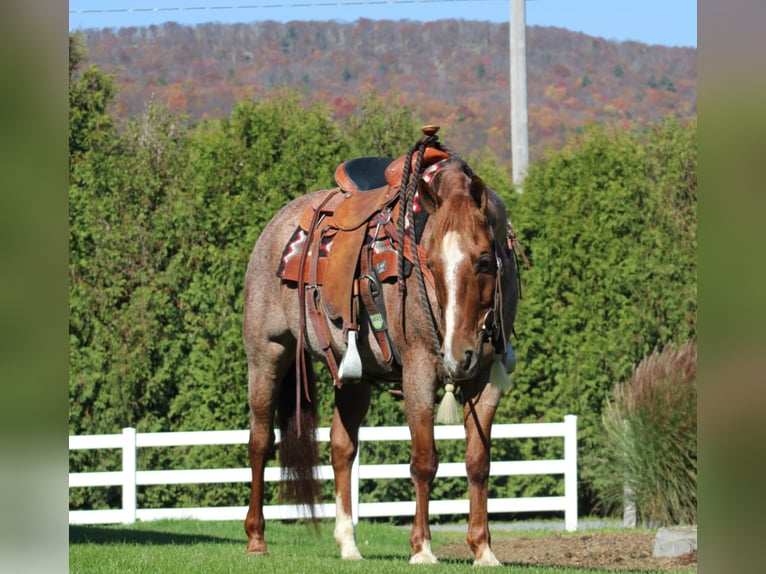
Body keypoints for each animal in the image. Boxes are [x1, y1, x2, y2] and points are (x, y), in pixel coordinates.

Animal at [243, 127, 524, 568]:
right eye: (430, 263)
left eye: (483, 260)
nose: (457, 354)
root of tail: (274, 228)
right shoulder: (419, 372)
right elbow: (424, 461)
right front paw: (422, 548)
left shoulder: (488, 377)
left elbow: (478, 462)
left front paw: (483, 549)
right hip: (267, 354)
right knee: (259, 442)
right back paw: (256, 538)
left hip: (354, 375)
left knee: (342, 448)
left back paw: (348, 543)